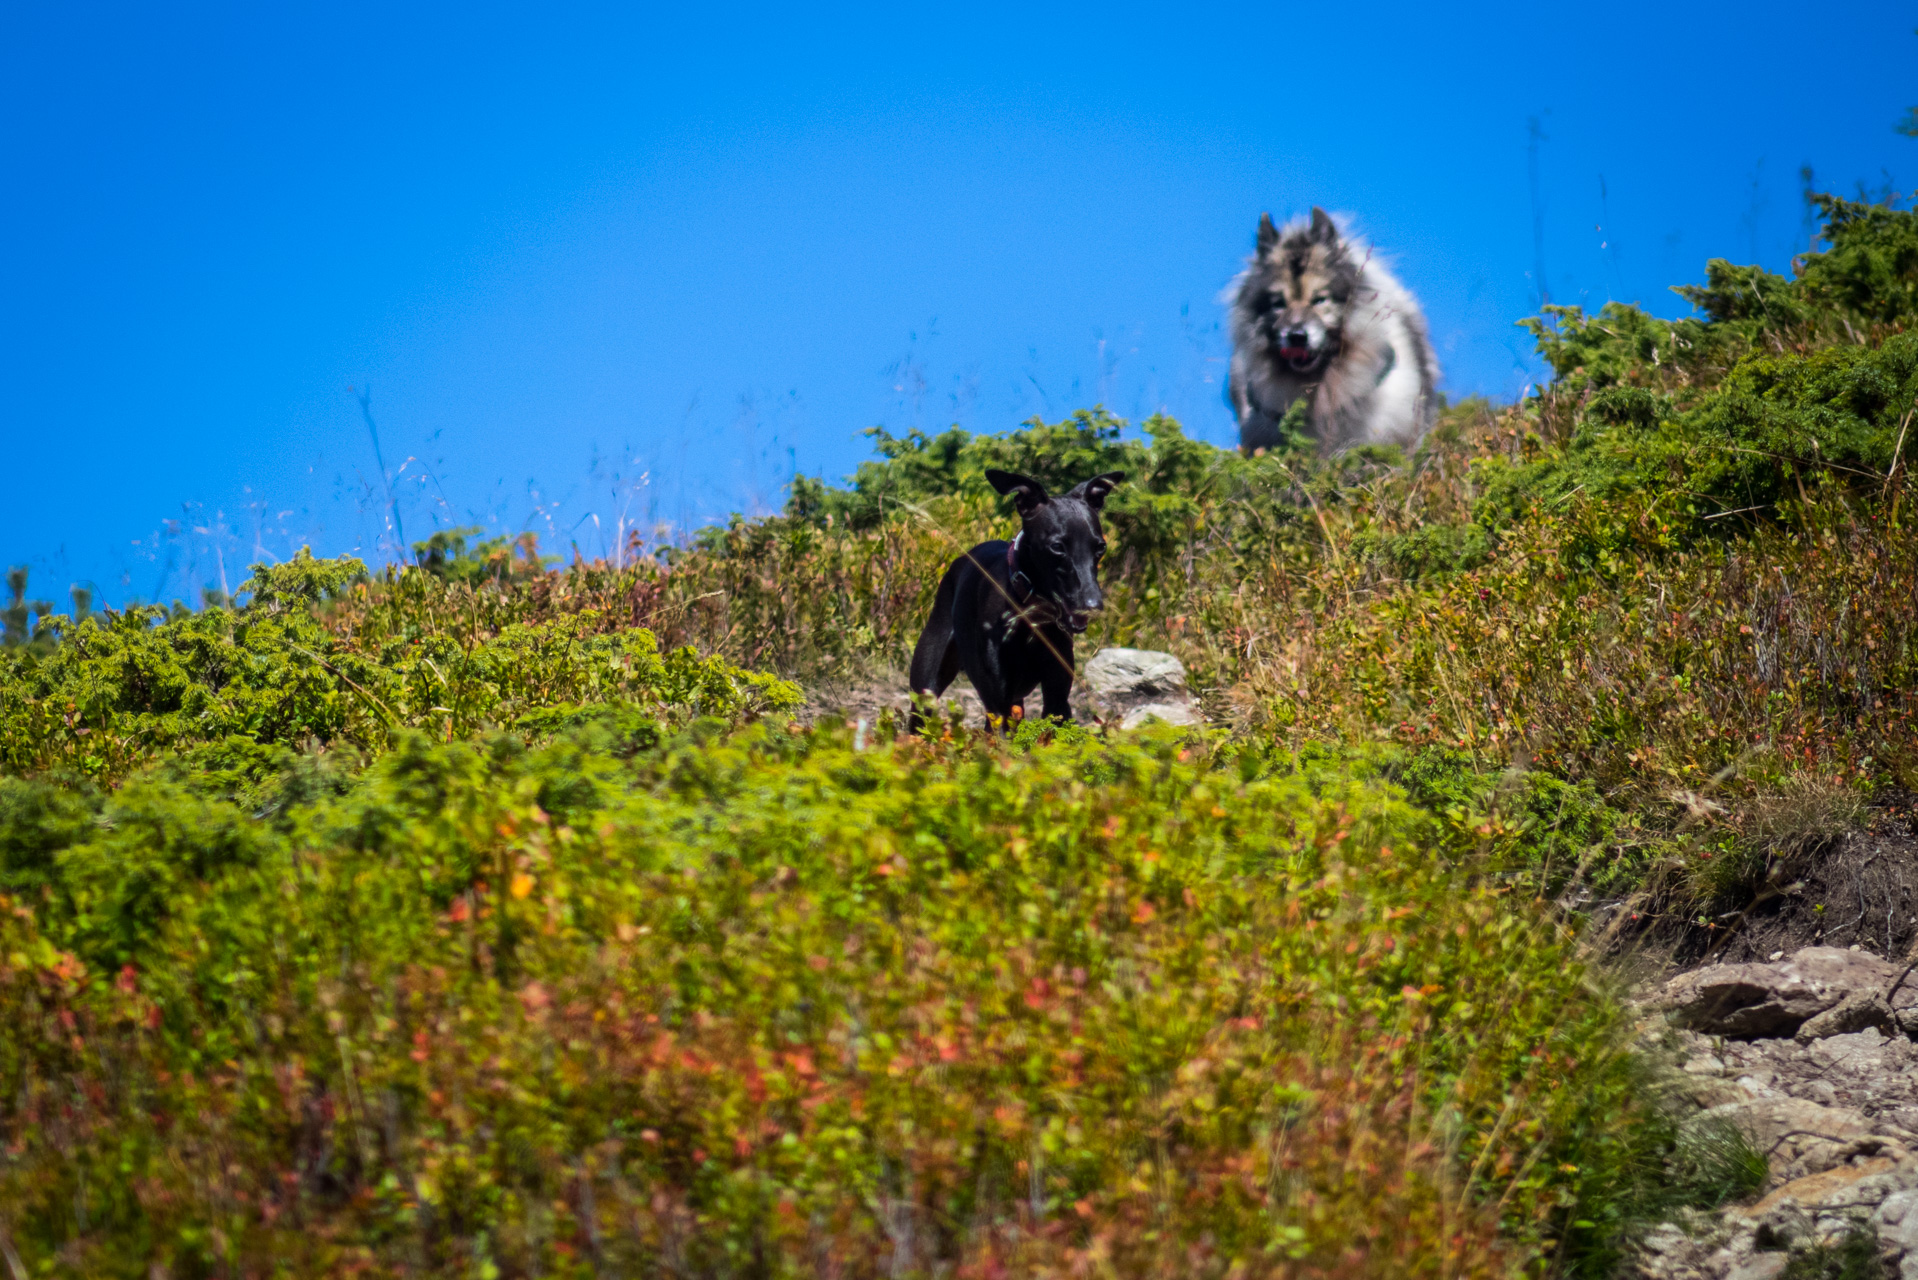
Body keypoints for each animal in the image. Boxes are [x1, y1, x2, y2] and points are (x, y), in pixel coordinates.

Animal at [909, 468, 1120, 729]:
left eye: (1100, 547)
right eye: (1057, 546)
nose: (1092, 605)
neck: (1029, 614)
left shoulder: (1057, 699)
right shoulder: (998, 703)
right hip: (926, 688)